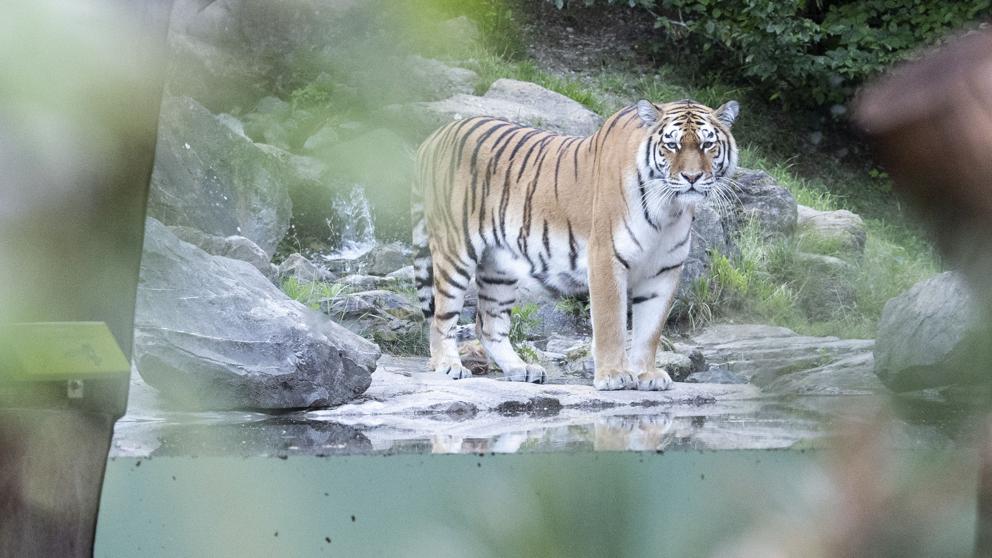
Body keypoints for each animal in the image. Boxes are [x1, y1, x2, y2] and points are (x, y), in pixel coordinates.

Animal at [412, 98, 739, 390]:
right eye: (671, 145)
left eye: (707, 145)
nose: (692, 177)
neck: (669, 210)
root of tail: (433, 138)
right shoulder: (606, 258)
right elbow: (611, 324)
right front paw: (613, 376)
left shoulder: (664, 271)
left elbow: (649, 331)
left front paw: (647, 375)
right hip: (454, 251)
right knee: (441, 317)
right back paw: (448, 365)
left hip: (498, 266)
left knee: (488, 323)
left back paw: (521, 369)